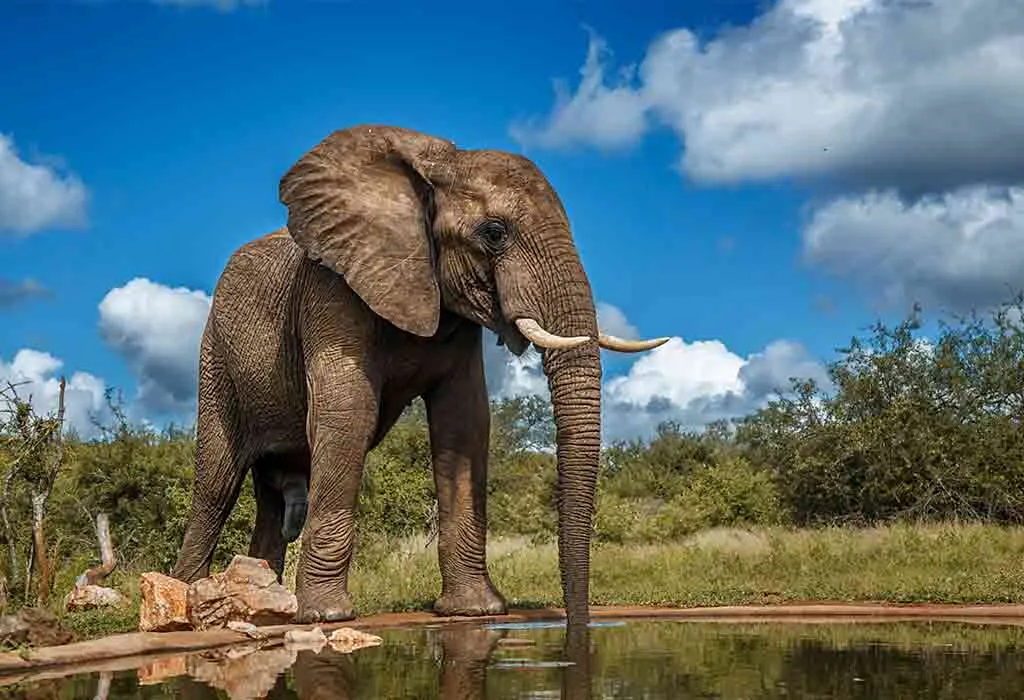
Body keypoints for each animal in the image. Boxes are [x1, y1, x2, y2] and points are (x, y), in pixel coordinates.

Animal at [169, 124, 668, 627]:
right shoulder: (331, 289)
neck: (437, 167)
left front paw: (475, 610)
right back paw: (191, 598)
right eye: (494, 233)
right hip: (215, 354)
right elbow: (348, 412)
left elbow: (464, 424)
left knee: (271, 500)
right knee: (216, 482)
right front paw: (325, 616)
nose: (576, 623)